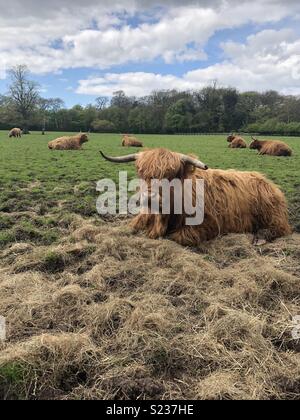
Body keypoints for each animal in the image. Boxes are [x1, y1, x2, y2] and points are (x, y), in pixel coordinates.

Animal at [100, 148, 290, 246]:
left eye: (171, 175)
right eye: (141, 172)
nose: (148, 198)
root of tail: (266, 180)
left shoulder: (208, 225)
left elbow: (176, 236)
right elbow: (132, 227)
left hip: (271, 214)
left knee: (280, 228)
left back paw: (260, 238)